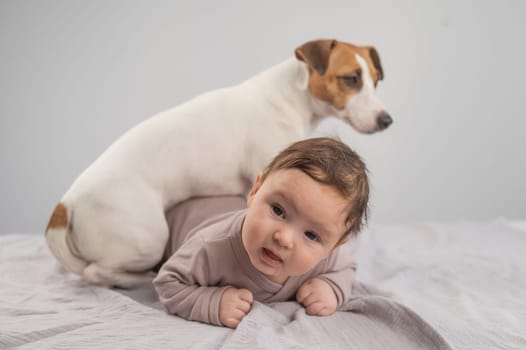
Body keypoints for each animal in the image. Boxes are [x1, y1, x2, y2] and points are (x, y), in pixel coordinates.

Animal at [45, 39, 392, 288]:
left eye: (376, 81)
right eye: (351, 79)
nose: (386, 120)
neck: (290, 96)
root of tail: (66, 205)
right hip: (148, 238)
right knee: (95, 272)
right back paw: (139, 278)